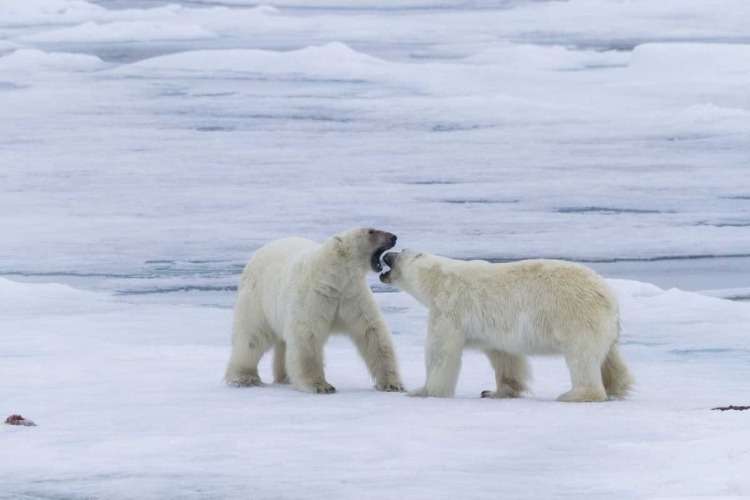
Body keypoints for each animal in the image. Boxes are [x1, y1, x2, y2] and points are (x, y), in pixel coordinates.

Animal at [225, 228, 406, 394]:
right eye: (371, 231)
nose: (394, 237)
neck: (333, 279)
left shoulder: (353, 296)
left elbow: (372, 332)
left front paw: (392, 384)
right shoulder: (314, 296)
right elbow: (306, 335)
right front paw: (320, 386)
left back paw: (285, 377)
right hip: (257, 299)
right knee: (252, 337)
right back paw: (244, 378)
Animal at [382, 250, 636, 402]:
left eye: (399, 254)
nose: (387, 254)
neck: (437, 277)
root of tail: (609, 295)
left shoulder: (449, 308)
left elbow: (440, 352)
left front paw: (423, 391)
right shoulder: (495, 329)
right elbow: (505, 356)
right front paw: (496, 391)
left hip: (576, 317)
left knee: (582, 357)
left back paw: (574, 394)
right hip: (604, 324)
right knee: (610, 357)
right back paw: (618, 385)